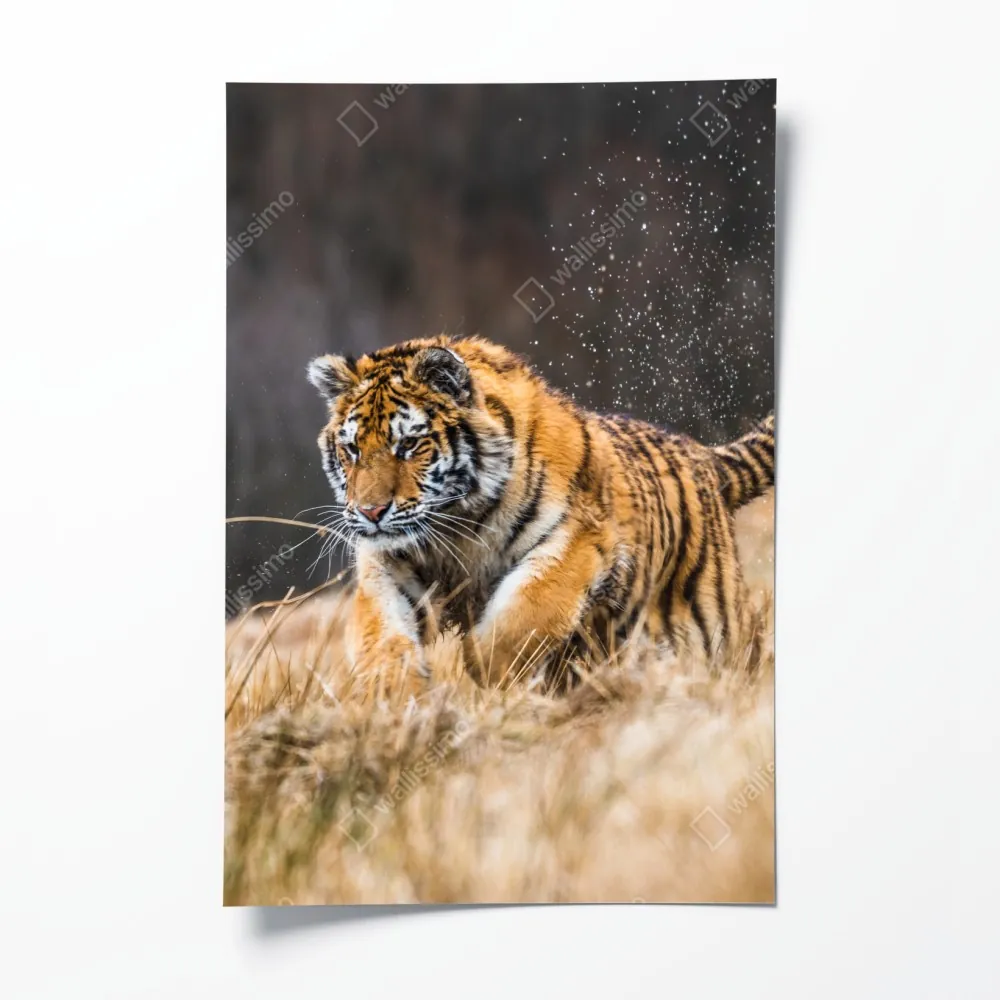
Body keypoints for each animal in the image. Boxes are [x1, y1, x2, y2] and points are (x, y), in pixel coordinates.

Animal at [307, 335, 774, 688]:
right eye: (352, 449)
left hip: (712, 627)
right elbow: (381, 632)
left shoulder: (577, 540)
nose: (370, 512)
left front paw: (483, 669)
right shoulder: (387, 563)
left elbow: (527, 612)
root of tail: (705, 457)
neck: (458, 522)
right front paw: (393, 695)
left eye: (408, 444)